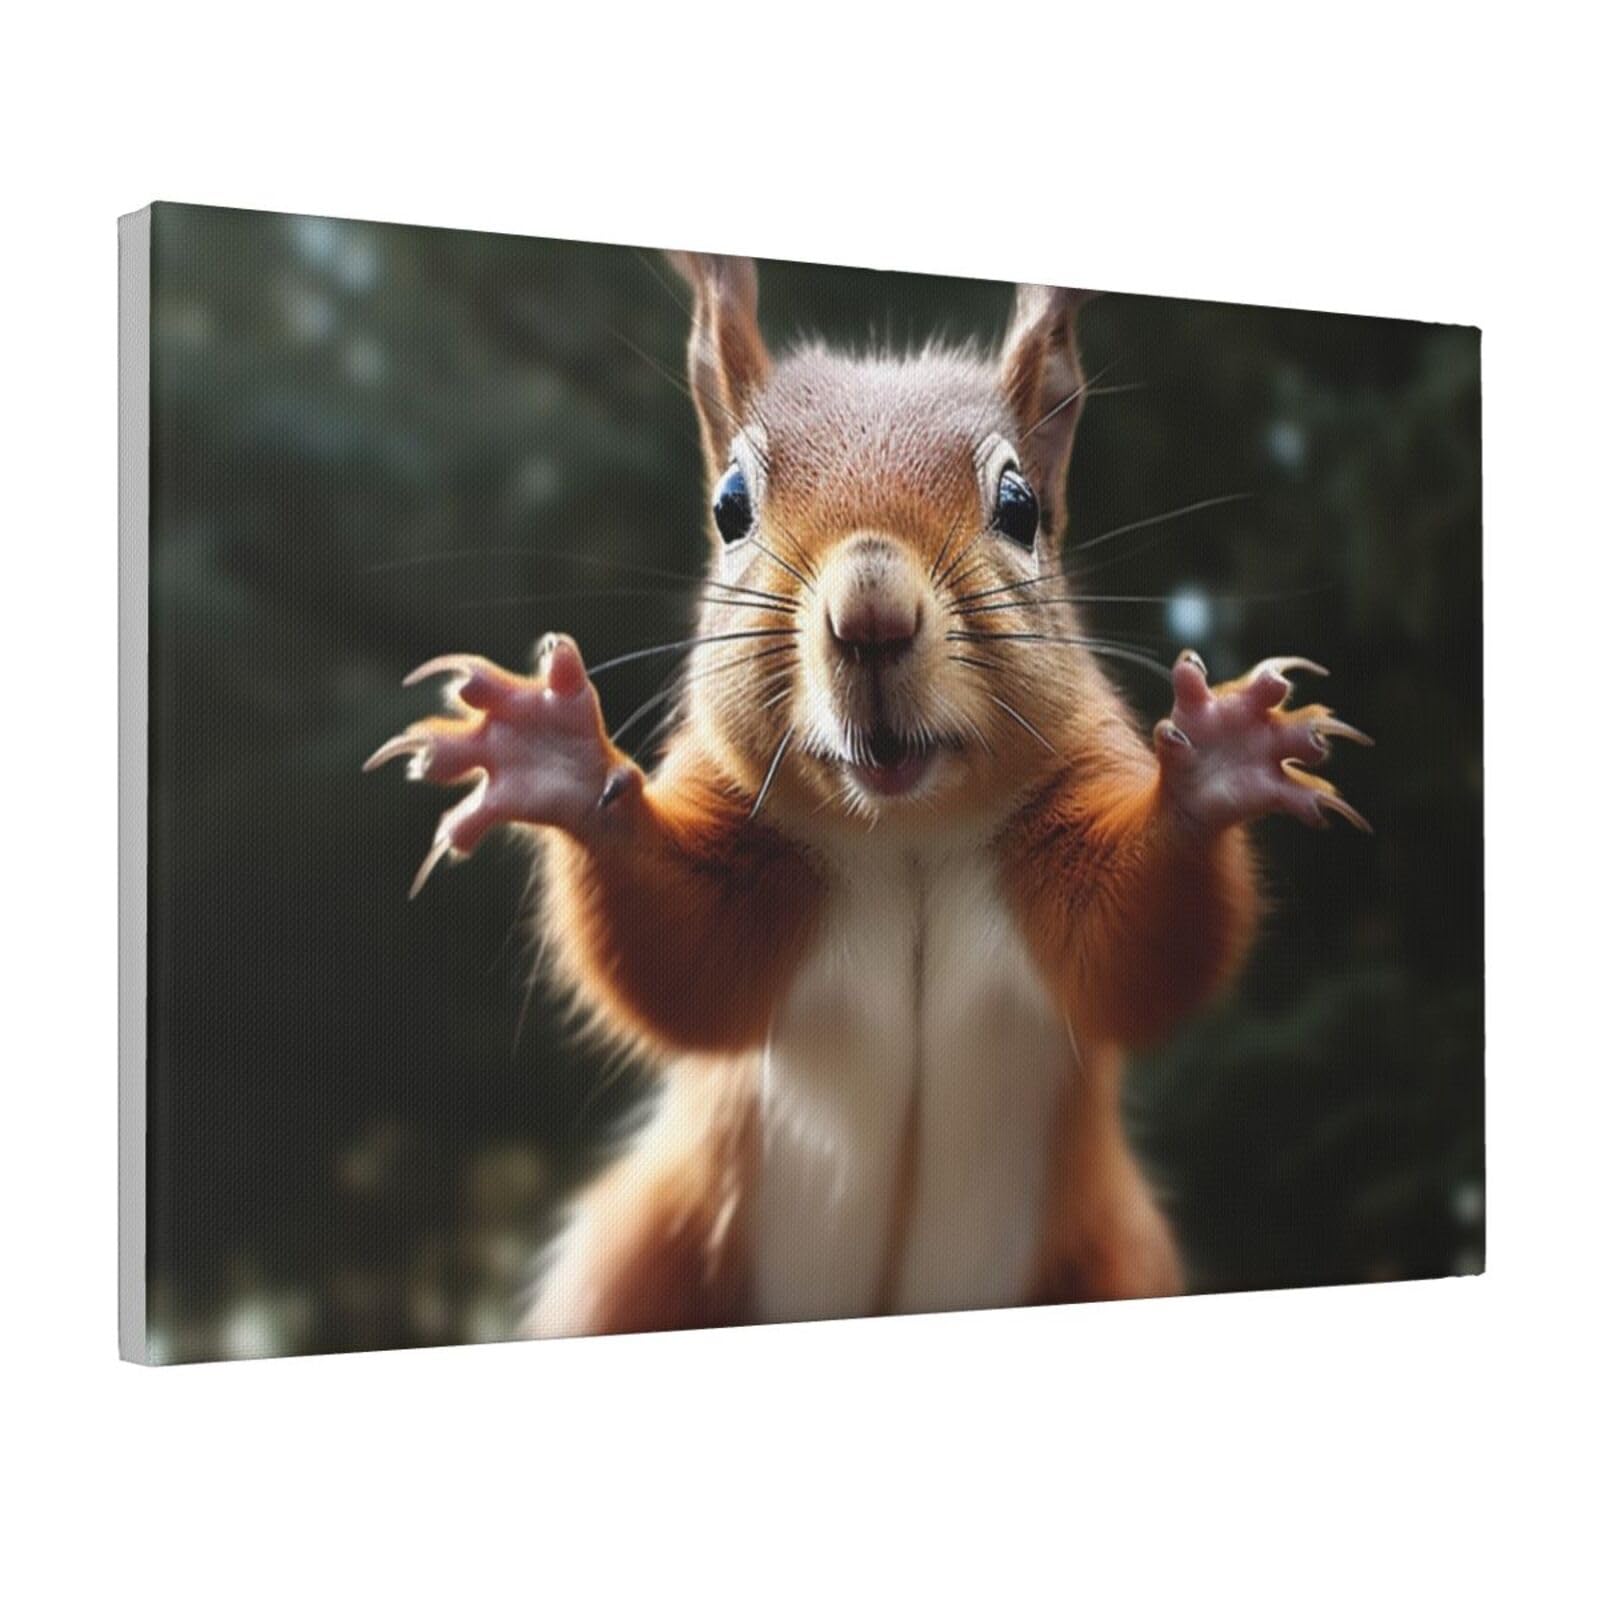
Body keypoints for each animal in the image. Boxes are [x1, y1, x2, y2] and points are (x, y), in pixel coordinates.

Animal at [367, 253, 1371, 1335]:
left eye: (1019, 505)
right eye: (730, 504)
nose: (873, 611)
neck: (905, 833)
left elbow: (1134, 955)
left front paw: (1215, 764)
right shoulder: (742, 840)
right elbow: (680, 964)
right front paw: (558, 757)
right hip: (649, 1256)